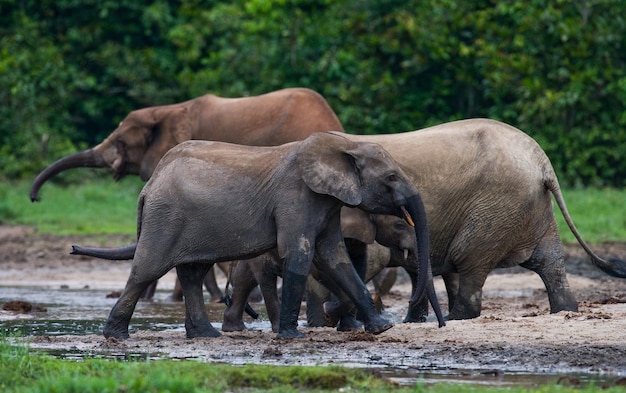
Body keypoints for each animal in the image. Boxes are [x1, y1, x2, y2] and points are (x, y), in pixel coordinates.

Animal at [70, 132, 442, 340]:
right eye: (391, 177)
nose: (439, 325)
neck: (346, 146)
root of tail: (149, 185)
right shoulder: (296, 196)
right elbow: (300, 254)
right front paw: (291, 337)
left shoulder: (326, 204)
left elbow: (336, 257)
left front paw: (382, 328)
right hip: (165, 218)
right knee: (147, 269)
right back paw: (117, 336)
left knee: (192, 273)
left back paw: (206, 335)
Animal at [330, 118, 620, 318]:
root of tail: (541, 160)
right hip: (530, 206)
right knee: (550, 262)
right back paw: (564, 310)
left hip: (498, 206)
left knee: (468, 259)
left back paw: (455, 318)